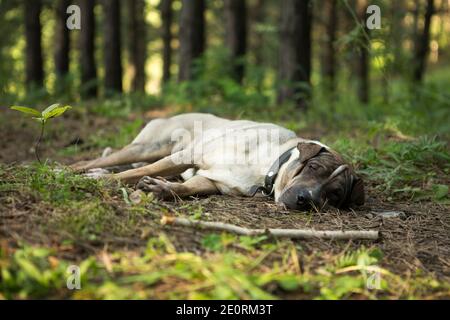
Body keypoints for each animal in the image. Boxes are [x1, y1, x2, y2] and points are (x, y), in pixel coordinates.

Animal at [71, 112, 366, 210]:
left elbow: (184, 188)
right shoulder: (187, 156)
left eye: (334, 194)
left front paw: (160, 189)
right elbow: (133, 174)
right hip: (148, 147)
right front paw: (107, 183)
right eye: (313, 167)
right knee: (98, 163)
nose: (306, 200)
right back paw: (72, 171)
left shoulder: (212, 181)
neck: (267, 165)